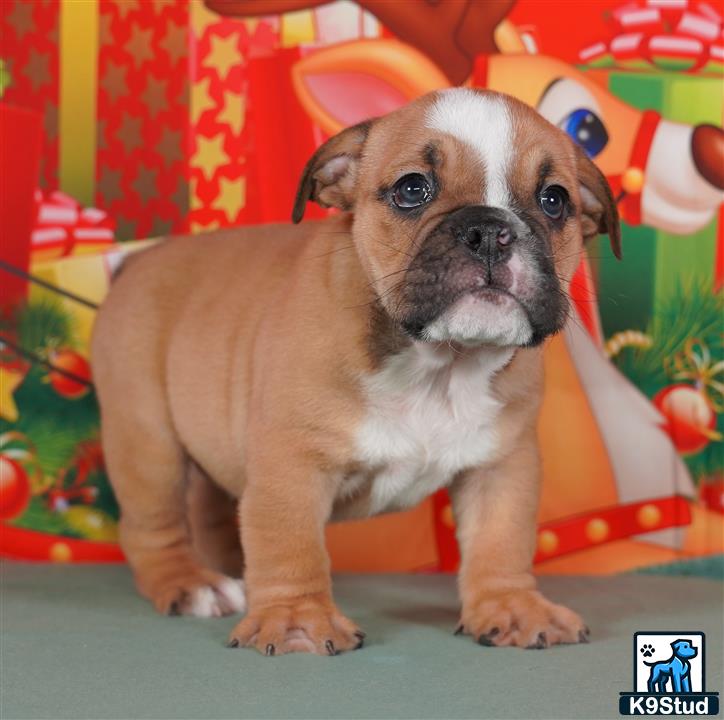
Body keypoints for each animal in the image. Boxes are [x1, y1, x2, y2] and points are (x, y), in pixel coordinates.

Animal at [92, 87, 624, 656]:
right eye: (412, 189)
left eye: (555, 200)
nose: (489, 231)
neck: (438, 362)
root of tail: (138, 262)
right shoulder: (291, 463)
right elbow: (290, 543)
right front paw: (296, 618)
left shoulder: (502, 463)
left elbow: (502, 539)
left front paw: (512, 606)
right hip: (147, 440)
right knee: (153, 526)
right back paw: (190, 584)